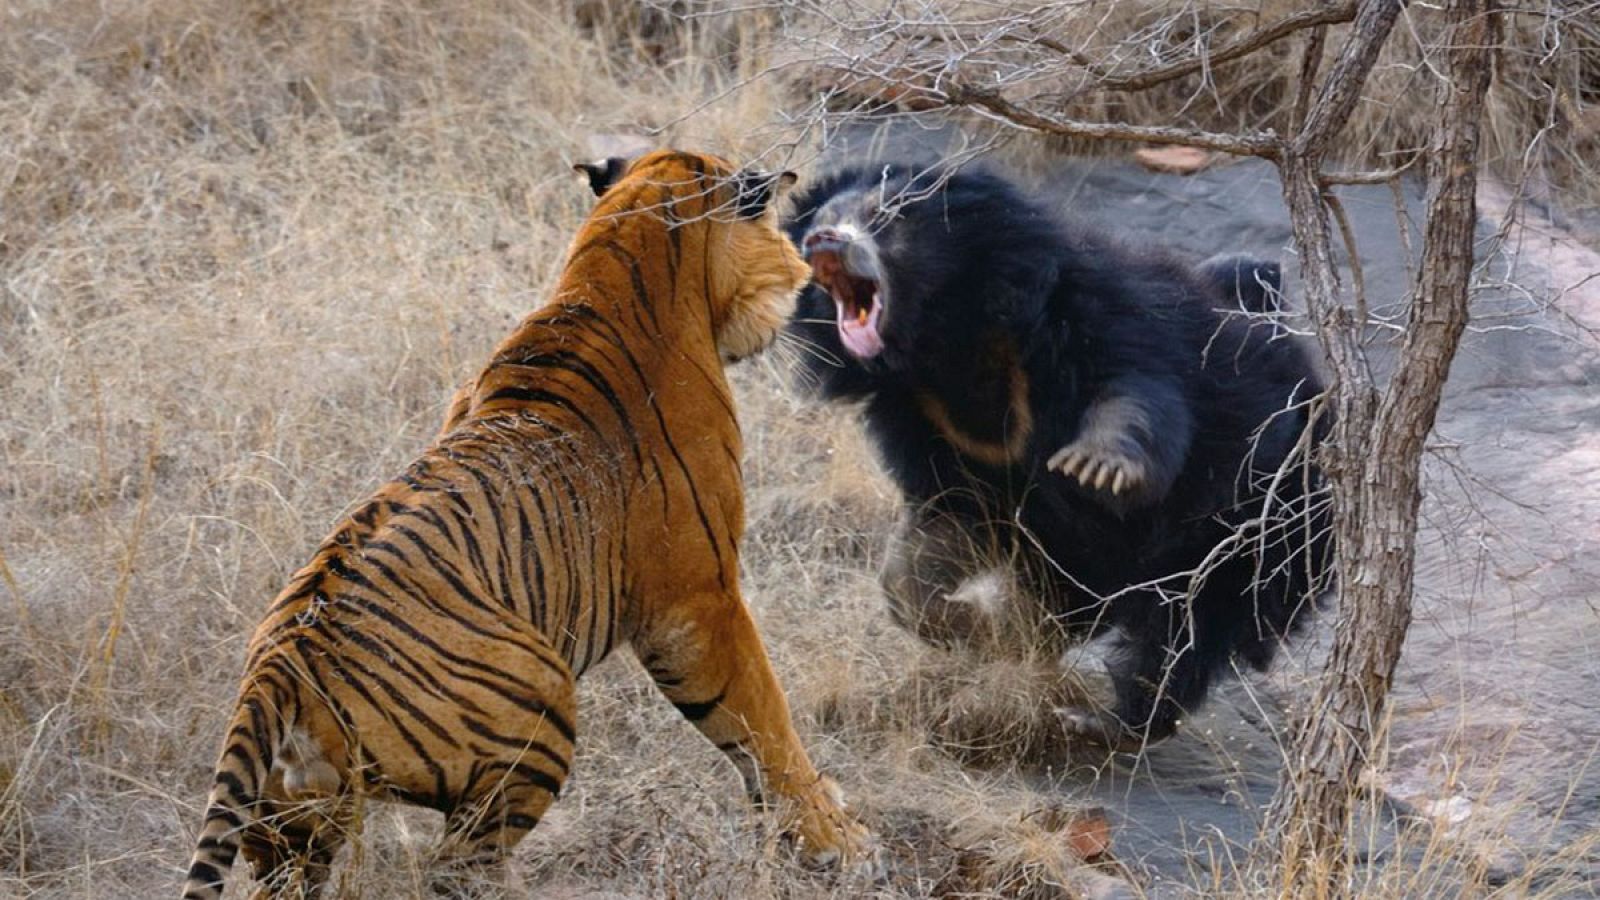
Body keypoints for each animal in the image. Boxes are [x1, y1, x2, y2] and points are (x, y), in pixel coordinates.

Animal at [181, 150, 870, 890]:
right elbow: (763, 720)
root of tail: (277, 668)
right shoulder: (698, 601)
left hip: (293, 823)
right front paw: (836, 840)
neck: (617, 260)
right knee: (459, 868)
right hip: (539, 707)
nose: (802, 273)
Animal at [780, 159, 1331, 743]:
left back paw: (1109, 720)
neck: (946, 342)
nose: (822, 241)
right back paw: (1033, 640)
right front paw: (977, 628)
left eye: (883, 217)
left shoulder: (1095, 317)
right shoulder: (929, 421)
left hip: (1264, 525)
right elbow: (942, 529)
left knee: (1187, 632)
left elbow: (1135, 395)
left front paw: (1096, 468)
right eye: (821, 221)